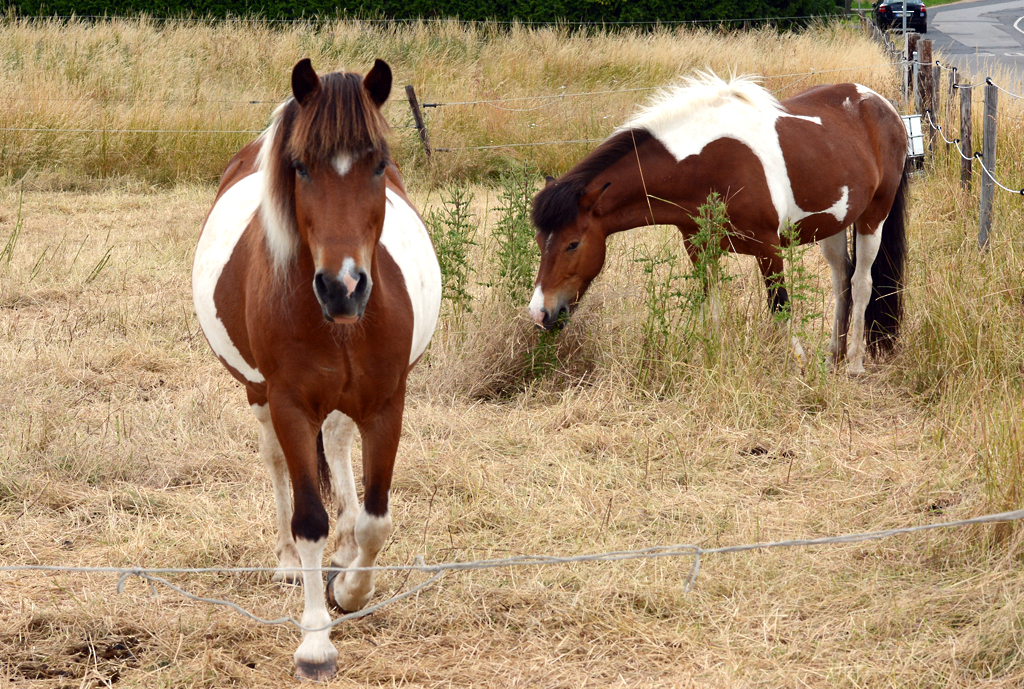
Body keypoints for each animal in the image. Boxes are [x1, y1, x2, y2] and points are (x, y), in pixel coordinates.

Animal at [192, 57, 440, 675]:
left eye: (378, 165)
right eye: (300, 167)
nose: (343, 286)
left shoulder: (386, 404)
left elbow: (377, 518)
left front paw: (350, 589)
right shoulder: (289, 404)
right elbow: (309, 518)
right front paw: (315, 641)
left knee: (340, 446)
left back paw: (346, 548)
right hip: (259, 396)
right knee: (277, 464)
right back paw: (287, 560)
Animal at [532, 73, 909, 372]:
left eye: (573, 243)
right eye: (539, 241)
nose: (540, 313)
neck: (707, 165)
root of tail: (882, 105)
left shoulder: (768, 247)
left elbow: (780, 306)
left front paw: (798, 365)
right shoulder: (700, 249)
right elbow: (710, 307)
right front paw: (714, 360)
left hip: (873, 216)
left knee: (862, 283)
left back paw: (855, 363)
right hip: (833, 223)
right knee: (841, 279)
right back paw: (833, 357)